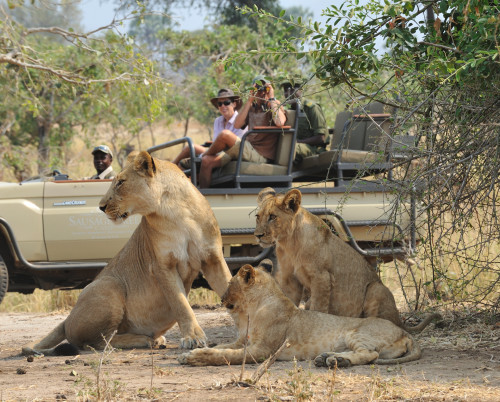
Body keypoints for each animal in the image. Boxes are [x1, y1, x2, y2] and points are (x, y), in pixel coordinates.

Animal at [180, 260, 422, 368]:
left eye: (230, 284)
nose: (221, 299)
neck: (251, 310)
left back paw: (336, 361)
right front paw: (187, 354)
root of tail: (406, 333)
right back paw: (328, 358)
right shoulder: (243, 341)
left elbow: (226, 355)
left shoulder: (262, 350)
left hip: (357, 333)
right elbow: (222, 346)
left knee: (369, 354)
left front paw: (196, 357)